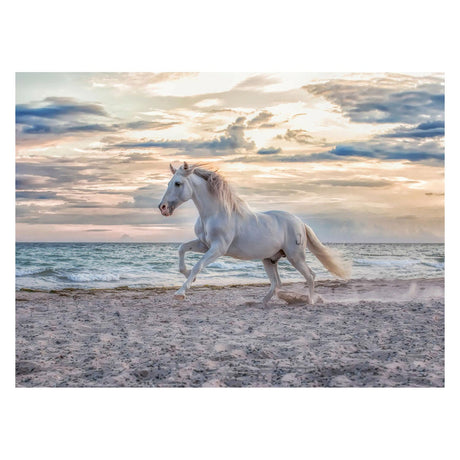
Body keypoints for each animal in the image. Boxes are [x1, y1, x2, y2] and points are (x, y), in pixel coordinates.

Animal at [158, 163, 348, 306]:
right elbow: (182, 249)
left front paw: (181, 293)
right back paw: (260, 302)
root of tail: (300, 222)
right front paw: (188, 275)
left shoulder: (218, 248)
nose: (163, 208)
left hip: (295, 257)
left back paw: (310, 301)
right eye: (168, 183)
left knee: (310, 275)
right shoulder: (204, 244)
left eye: (178, 183)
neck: (214, 213)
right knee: (277, 282)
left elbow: (198, 265)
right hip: (269, 259)